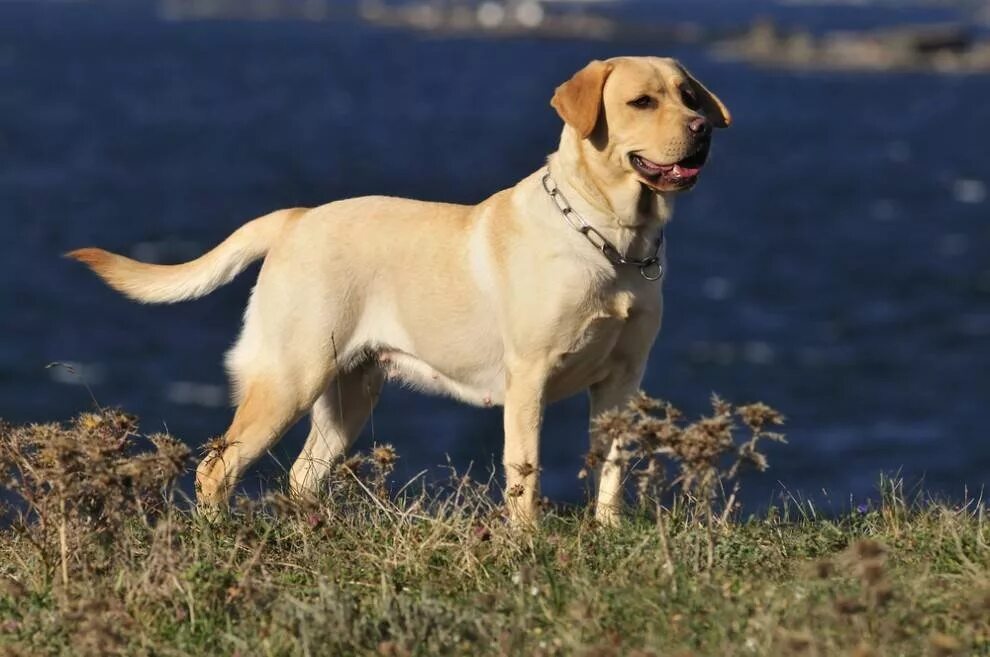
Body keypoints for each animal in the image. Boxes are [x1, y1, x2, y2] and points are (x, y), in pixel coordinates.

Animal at [70, 59, 732, 524]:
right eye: (642, 102)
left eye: (689, 97)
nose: (702, 129)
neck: (611, 240)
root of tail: (295, 218)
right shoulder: (529, 379)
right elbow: (526, 475)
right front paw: (526, 545)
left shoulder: (623, 382)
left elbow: (612, 470)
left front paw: (607, 530)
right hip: (289, 378)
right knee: (217, 468)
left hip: (350, 393)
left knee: (303, 475)